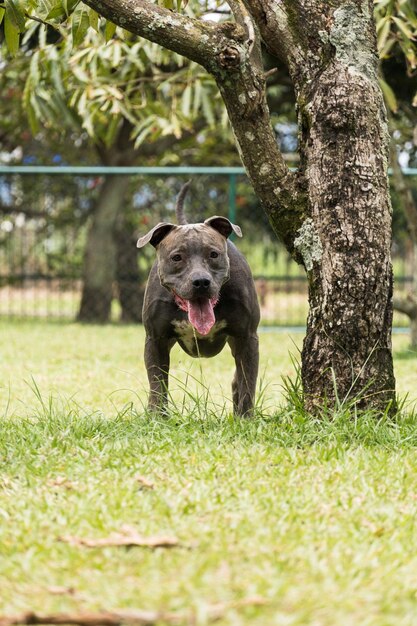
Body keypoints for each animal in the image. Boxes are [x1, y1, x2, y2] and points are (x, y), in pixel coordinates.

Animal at [138, 180, 258, 414]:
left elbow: (248, 384)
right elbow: (157, 385)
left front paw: (246, 417)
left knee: (238, 379)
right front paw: (157, 416)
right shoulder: (155, 340)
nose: (201, 282)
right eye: (177, 257)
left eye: (213, 254)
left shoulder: (247, 338)